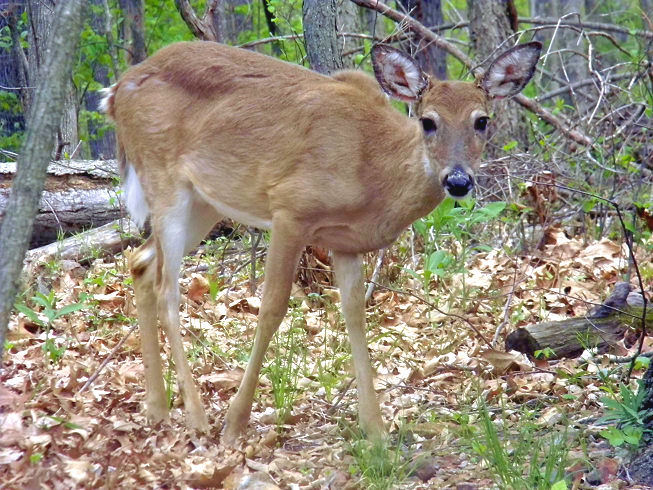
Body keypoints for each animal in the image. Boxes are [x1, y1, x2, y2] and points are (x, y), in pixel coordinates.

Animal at [102, 39, 540, 444]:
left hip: (204, 201)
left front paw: (375, 431)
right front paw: (235, 422)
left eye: (482, 120)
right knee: (167, 288)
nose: (459, 180)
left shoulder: (345, 242)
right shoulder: (291, 208)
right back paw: (196, 417)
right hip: (164, 178)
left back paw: (157, 409)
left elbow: (355, 315)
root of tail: (117, 89)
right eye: (428, 121)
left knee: (140, 262)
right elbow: (272, 308)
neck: (373, 169)